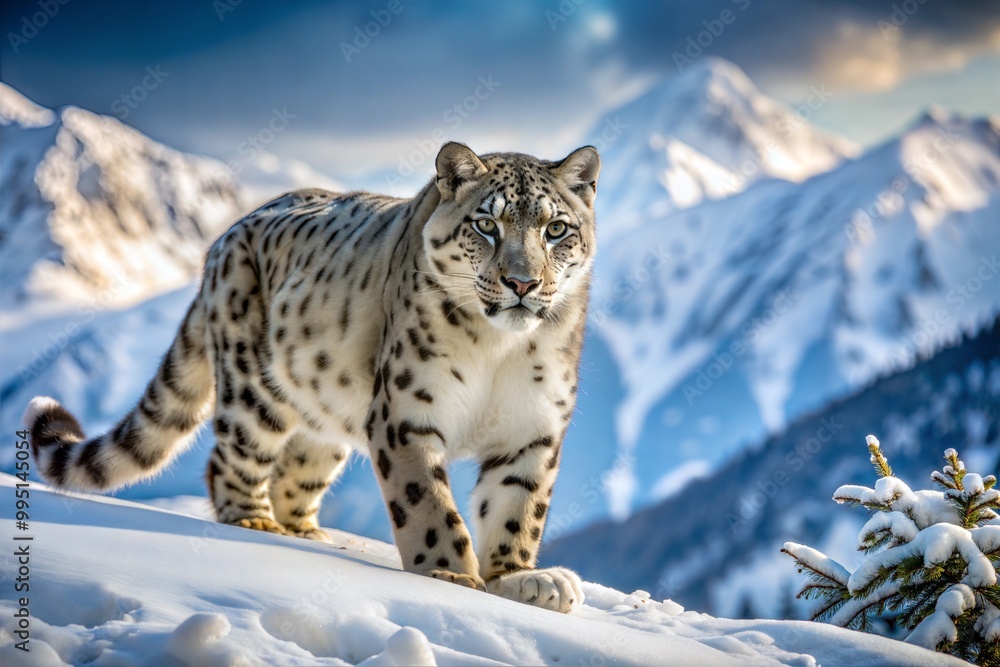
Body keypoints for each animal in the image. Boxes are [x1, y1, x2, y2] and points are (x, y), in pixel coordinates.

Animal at [23, 141, 600, 613]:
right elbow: (428, 503)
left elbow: (518, 507)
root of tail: (222, 239)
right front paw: (453, 576)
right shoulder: (407, 412)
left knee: (294, 474)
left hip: (327, 415)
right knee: (231, 459)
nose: (522, 282)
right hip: (253, 390)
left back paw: (305, 533)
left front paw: (520, 578)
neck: (500, 350)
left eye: (555, 229)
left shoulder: (532, 427)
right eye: (486, 224)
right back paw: (254, 521)